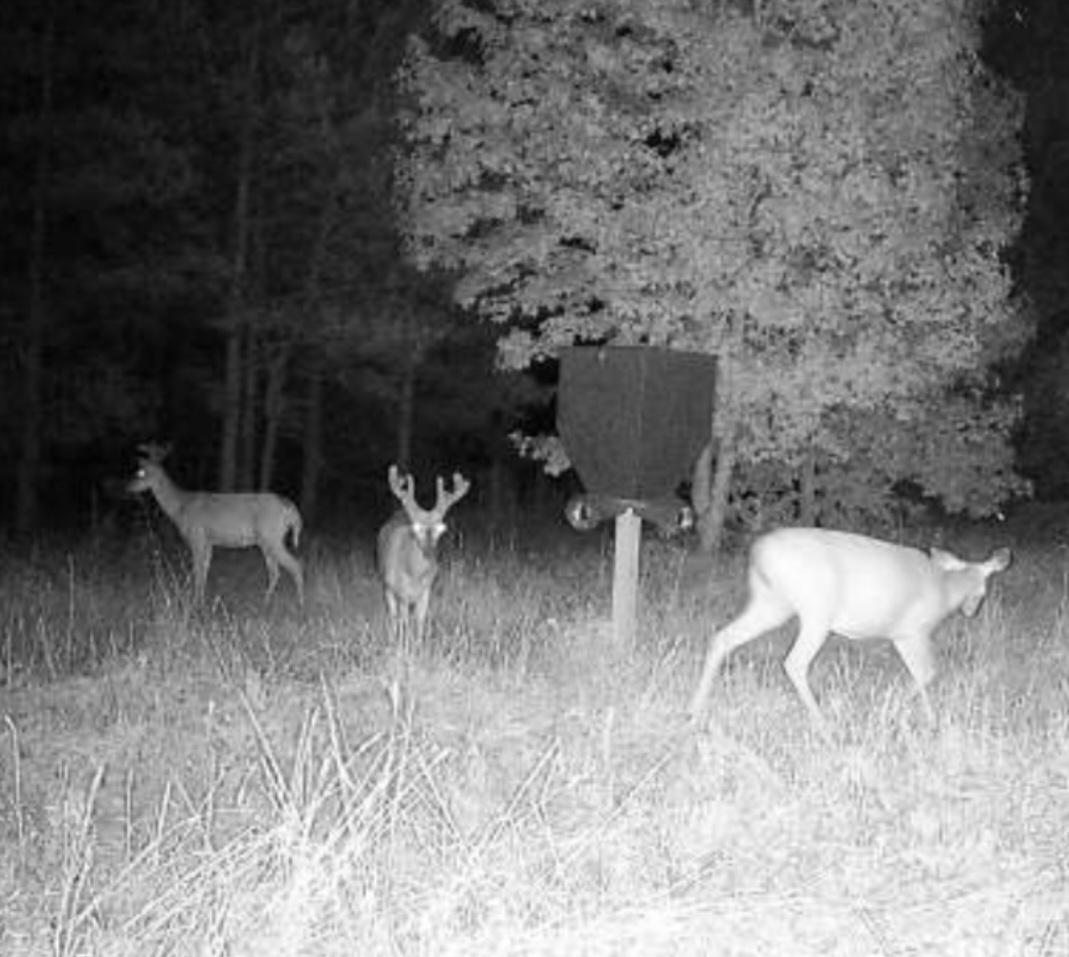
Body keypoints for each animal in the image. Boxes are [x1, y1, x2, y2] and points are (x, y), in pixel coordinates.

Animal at [128, 443, 304, 605]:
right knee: (275, 572)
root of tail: (290, 508)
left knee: (296, 566)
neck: (180, 507)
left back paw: (300, 603)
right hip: (267, 541)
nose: (127, 487)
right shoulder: (208, 541)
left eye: (141, 472)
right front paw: (201, 599)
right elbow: (205, 570)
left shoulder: (197, 536)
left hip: (271, 537)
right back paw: (265, 602)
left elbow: (197, 571)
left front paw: (195, 603)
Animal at [377, 464, 471, 648]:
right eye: (417, 530)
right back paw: (392, 638)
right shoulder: (401, 592)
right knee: (393, 615)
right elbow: (404, 620)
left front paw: (419, 646)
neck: (415, 575)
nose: (429, 554)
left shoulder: (426, 590)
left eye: (438, 532)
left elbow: (420, 619)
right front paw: (404, 646)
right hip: (386, 584)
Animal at [687, 527, 1012, 733]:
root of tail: (757, 552)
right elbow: (928, 673)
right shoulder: (913, 632)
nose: (972, 611)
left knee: (722, 637)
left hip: (772, 603)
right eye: (985, 591)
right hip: (816, 610)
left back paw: (695, 710)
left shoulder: (902, 635)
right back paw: (823, 724)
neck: (946, 591)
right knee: (794, 662)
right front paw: (891, 712)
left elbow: (923, 674)